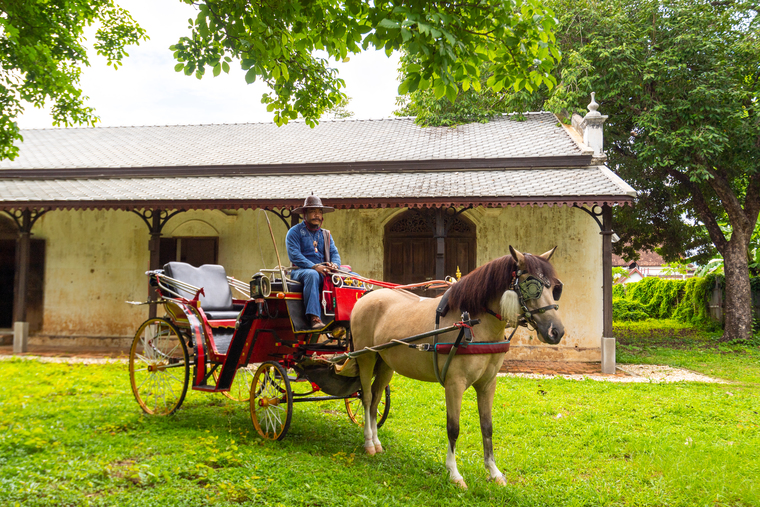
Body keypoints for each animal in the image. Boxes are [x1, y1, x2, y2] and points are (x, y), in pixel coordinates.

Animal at [350, 246, 564, 488]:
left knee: (376, 399)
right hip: (366, 357)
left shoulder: (488, 384)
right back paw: (368, 442)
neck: (473, 322)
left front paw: (493, 471)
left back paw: (376, 442)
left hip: (386, 363)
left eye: (554, 287)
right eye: (532, 286)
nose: (556, 331)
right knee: (367, 397)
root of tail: (367, 297)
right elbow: (453, 428)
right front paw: (454, 473)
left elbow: (487, 426)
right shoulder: (455, 383)